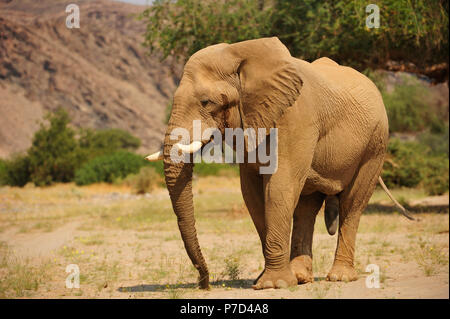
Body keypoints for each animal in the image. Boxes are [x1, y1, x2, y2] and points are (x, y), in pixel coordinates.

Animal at [145, 37, 412, 290]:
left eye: (206, 102)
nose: (205, 284)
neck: (240, 53)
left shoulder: (295, 117)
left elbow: (278, 187)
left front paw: (274, 284)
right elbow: (252, 194)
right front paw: (269, 279)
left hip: (376, 143)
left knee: (352, 204)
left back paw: (340, 277)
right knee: (306, 207)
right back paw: (302, 277)